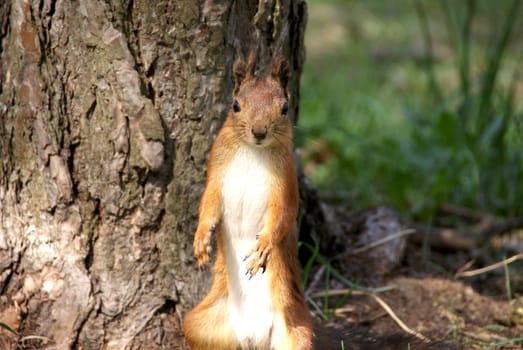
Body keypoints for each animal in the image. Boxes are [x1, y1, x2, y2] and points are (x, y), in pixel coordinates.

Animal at [183, 34, 314, 348]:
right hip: (198, 324)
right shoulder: (216, 172)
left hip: (296, 331)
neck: (252, 151)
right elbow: (207, 203)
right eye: (235, 105)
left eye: (284, 107)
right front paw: (201, 239)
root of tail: (253, 336)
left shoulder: (286, 182)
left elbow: (283, 215)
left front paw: (263, 247)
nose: (259, 131)